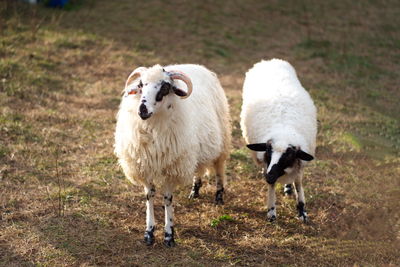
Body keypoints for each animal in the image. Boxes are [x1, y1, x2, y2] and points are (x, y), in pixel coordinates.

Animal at [113, 63, 231, 248]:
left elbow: (168, 199)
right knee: (197, 168)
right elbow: (149, 197)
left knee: (219, 168)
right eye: (140, 85)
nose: (142, 110)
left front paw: (169, 235)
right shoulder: (145, 166)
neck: (153, 127)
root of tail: (197, 66)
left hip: (222, 139)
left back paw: (219, 196)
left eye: (165, 87)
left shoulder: (171, 168)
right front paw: (149, 232)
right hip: (193, 147)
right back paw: (194, 191)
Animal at [239, 59, 318, 224]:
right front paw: (271, 211)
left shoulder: (299, 163)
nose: (269, 176)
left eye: (289, 155)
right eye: (268, 150)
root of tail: (270, 61)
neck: (283, 130)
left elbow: (298, 184)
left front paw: (302, 211)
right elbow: (272, 186)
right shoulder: (266, 163)